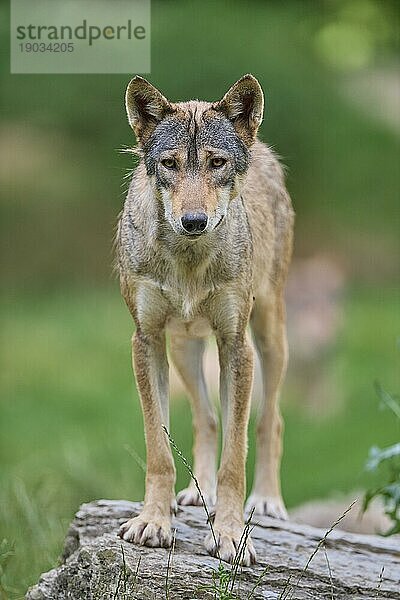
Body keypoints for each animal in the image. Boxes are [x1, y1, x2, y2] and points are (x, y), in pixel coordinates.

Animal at [115, 72, 294, 564]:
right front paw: (153, 522)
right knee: (206, 418)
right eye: (170, 164)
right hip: (183, 349)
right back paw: (200, 494)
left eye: (216, 163)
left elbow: (236, 457)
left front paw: (231, 535)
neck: (189, 260)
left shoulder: (236, 345)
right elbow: (159, 449)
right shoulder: (146, 341)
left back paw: (267, 501)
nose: (193, 221)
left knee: (271, 421)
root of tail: (262, 147)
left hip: (270, 337)